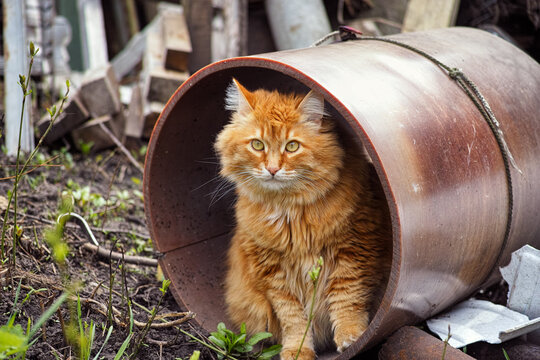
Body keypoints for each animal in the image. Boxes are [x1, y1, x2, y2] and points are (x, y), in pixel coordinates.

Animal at [213, 79, 390, 360]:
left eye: (292, 146)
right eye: (258, 145)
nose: (272, 169)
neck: (288, 211)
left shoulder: (354, 251)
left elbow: (347, 299)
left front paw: (350, 336)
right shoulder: (273, 273)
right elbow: (293, 318)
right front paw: (297, 350)